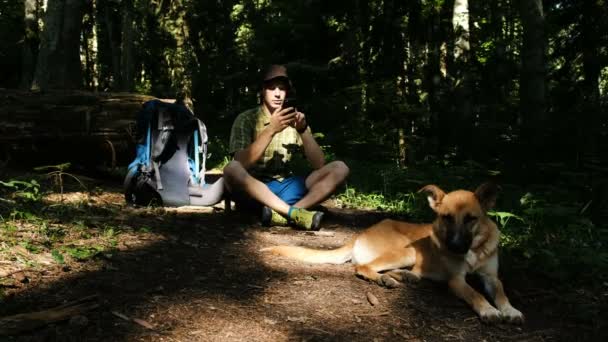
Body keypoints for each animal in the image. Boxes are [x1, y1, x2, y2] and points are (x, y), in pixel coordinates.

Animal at [262, 182, 524, 324]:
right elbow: (475, 294)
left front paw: (510, 310)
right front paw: (489, 310)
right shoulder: (456, 280)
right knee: (362, 267)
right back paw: (384, 279)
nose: (455, 247)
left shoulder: (491, 277)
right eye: (446, 218)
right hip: (405, 252)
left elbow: (501, 294)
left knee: (406, 272)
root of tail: (361, 233)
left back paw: (403, 276)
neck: (474, 250)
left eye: (471, 219)